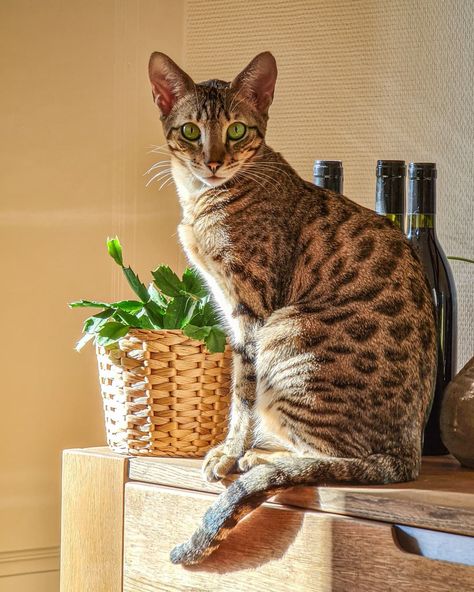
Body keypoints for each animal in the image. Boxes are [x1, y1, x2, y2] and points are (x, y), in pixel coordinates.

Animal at [147, 49, 434, 564]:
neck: (201, 199)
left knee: (334, 458)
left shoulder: (250, 309)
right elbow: (237, 392)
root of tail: (408, 455)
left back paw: (259, 455)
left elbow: (240, 394)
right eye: (191, 130)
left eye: (237, 130)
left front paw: (227, 451)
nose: (213, 161)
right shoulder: (230, 308)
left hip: (287, 335)